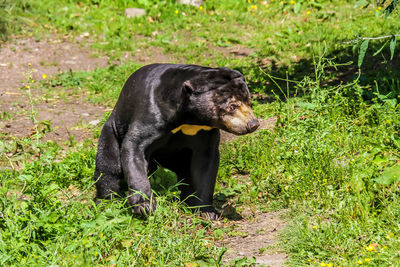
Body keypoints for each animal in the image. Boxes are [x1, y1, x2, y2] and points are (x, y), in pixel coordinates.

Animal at [93, 64, 260, 220]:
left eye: (249, 101)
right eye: (232, 106)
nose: (253, 124)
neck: (189, 119)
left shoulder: (206, 133)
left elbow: (206, 165)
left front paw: (207, 211)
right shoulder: (151, 114)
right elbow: (134, 146)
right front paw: (145, 206)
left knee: (186, 175)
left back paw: (187, 200)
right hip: (112, 131)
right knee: (108, 166)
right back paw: (106, 202)